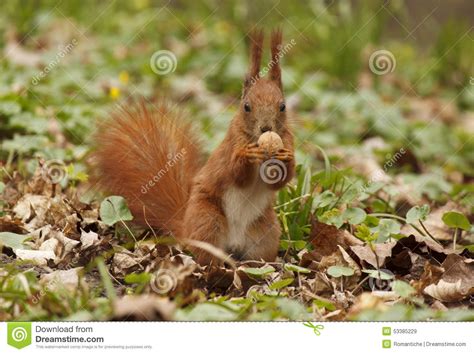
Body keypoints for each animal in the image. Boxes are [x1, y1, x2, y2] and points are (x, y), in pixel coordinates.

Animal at [91, 29, 294, 264]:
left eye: (282, 106)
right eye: (246, 106)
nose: (266, 128)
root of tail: (186, 229)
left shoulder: (288, 138)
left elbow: (280, 180)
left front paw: (286, 157)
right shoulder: (231, 144)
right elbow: (236, 174)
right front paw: (246, 155)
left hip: (265, 232)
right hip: (206, 219)